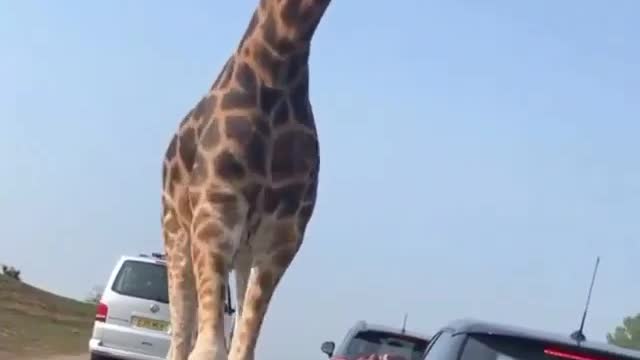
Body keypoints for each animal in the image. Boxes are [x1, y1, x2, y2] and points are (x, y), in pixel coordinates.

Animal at [160, 0, 332, 360]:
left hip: (243, 254)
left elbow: (242, 346)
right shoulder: (216, 210)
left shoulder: (283, 235)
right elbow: (208, 348)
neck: (280, 64)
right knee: (179, 339)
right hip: (176, 235)